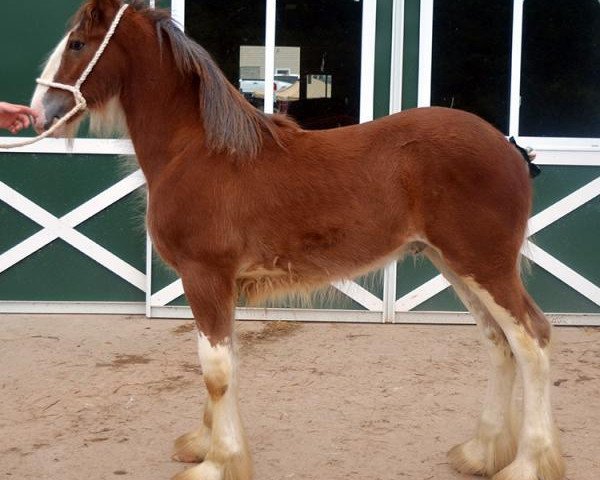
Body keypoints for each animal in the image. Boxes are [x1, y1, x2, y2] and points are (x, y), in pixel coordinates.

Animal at [29, 0, 564, 480]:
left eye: (77, 44)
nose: (40, 114)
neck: (197, 151)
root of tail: (510, 149)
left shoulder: (205, 276)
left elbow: (215, 370)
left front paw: (216, 463)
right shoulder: (216, 285)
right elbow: (222, 362)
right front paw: (202, 443)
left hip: (485, 266)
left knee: (531, 340)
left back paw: (526, 466)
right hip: (454, 264)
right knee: (498, 343)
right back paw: (480, 453)